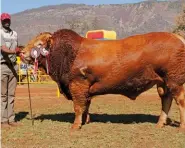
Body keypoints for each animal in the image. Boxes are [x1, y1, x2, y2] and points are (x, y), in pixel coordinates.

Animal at [21, 28, 185, 130]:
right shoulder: (84, 89)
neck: (69, 53)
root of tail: (177, 37)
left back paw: (181, 126)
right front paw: (85, 121)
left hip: (175, 81)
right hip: (163, 83)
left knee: (180, 101)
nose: (21, 52)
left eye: (39, 44)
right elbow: (86, 106)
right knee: (166, 101)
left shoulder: (77, 84)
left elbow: (78, 107)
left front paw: (75, 126)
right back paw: (160, 124)